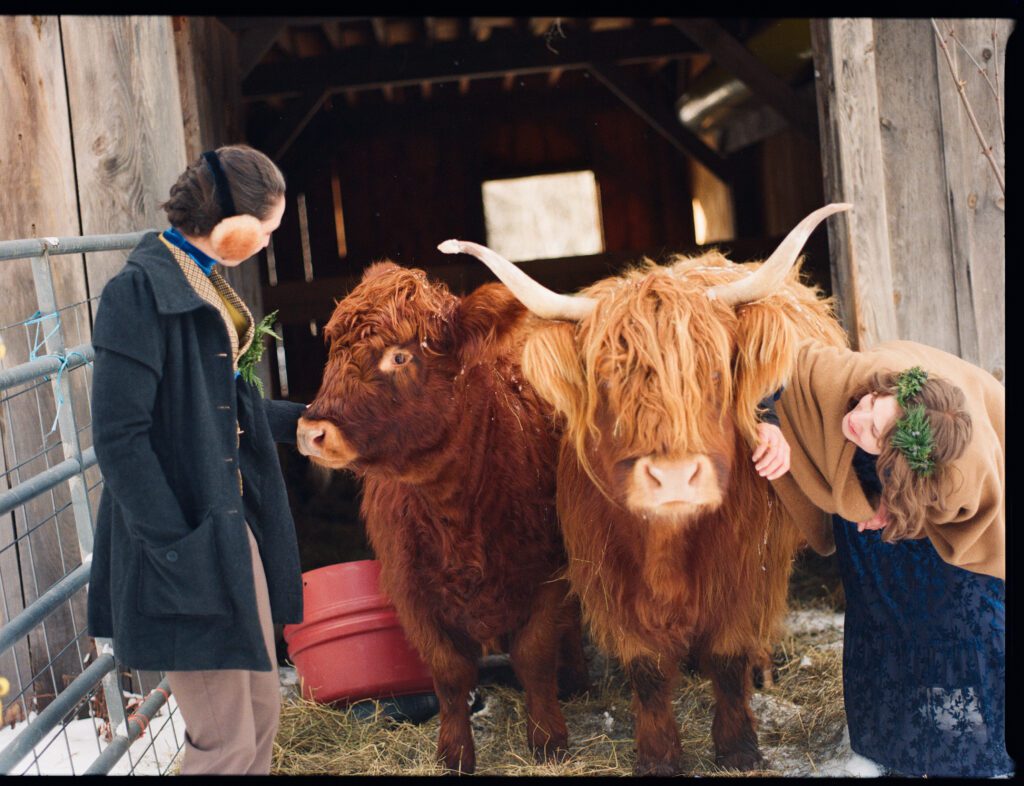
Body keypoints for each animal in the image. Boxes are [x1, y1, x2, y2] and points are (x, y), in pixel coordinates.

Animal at [292, 264, 589, 773]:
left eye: (400, 356)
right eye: (334, 349)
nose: (311, 431)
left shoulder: (548, 571)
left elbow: (534, 655)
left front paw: (549, 742)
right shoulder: (410, 589)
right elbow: (449, 673)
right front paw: (454, 755)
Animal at [444, 202, 851, 773]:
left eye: (713, 373)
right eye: (608, 379)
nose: (674, 476)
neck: (666, 544)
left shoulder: (743, 566)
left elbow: (728, 655)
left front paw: (738, 749)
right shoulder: (611, 577)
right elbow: (648, 671)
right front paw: (658, 756)